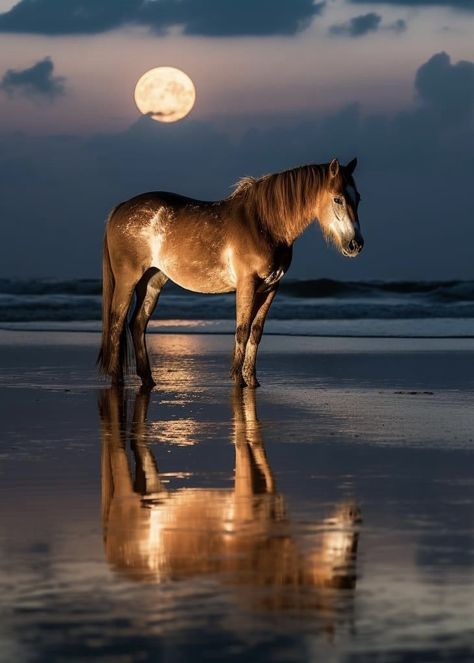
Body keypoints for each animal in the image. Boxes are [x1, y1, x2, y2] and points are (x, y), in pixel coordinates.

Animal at [96, 158, 362, 386]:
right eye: (338, 199)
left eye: (358, 198)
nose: (355, 245)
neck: (264, 224)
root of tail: (121, 208)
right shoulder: (247, 284)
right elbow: (242, 330)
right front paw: (237, 379)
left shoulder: (271, 287)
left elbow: (256, 332)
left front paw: (252, 380)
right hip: (128, 280)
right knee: (117, 322)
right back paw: (117, 379)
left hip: (152, 281)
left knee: (137, 324)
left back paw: (148, 379)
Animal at [99, 386, 360, 616]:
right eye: (342, 575)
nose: (354, 513)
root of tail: (111, 551)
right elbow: (243, 437)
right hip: (125, 491)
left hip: (153, 491)